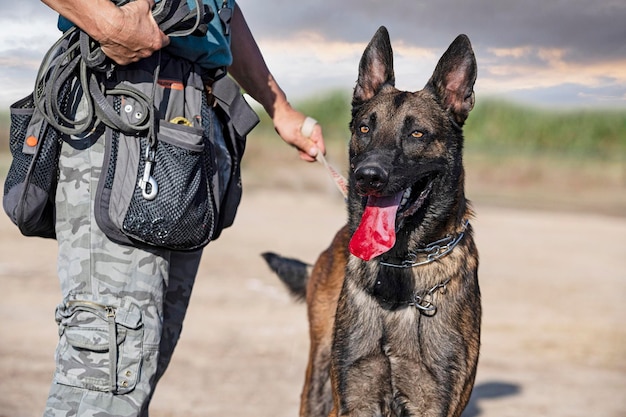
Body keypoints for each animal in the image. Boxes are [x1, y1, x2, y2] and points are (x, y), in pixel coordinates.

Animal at [260, 26, 480, 416]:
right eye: (364, 129)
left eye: (417, 134)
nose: (368, 176)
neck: (401, 266)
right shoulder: (354, 399)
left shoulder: (434, 403)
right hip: (318, 381)